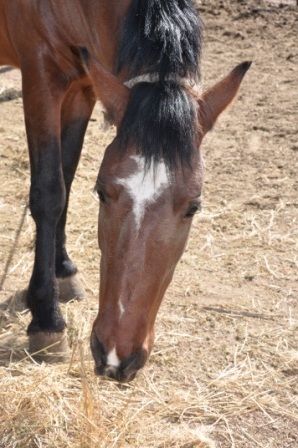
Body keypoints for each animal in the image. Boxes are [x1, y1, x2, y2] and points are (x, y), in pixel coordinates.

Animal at [0, 1, 251, 384]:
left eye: (193, 206)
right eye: (103, 193)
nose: (116, 356)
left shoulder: (84, 84)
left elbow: (67, 176)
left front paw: (64, 270)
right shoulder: (40, 73)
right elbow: (50, 191)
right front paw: (47, 319)